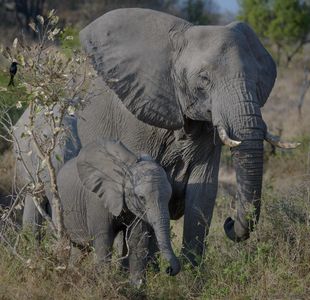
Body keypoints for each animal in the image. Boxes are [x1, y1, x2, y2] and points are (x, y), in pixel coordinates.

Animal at [57, 138, 180, 284]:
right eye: (141, 197)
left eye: (169, 198)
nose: (169, 270)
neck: (127, 169)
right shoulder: (96, 200)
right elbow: (103, 238)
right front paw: (103, 283)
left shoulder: (138, 210)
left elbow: (138, 239)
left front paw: (135, 287)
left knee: (79, 249)